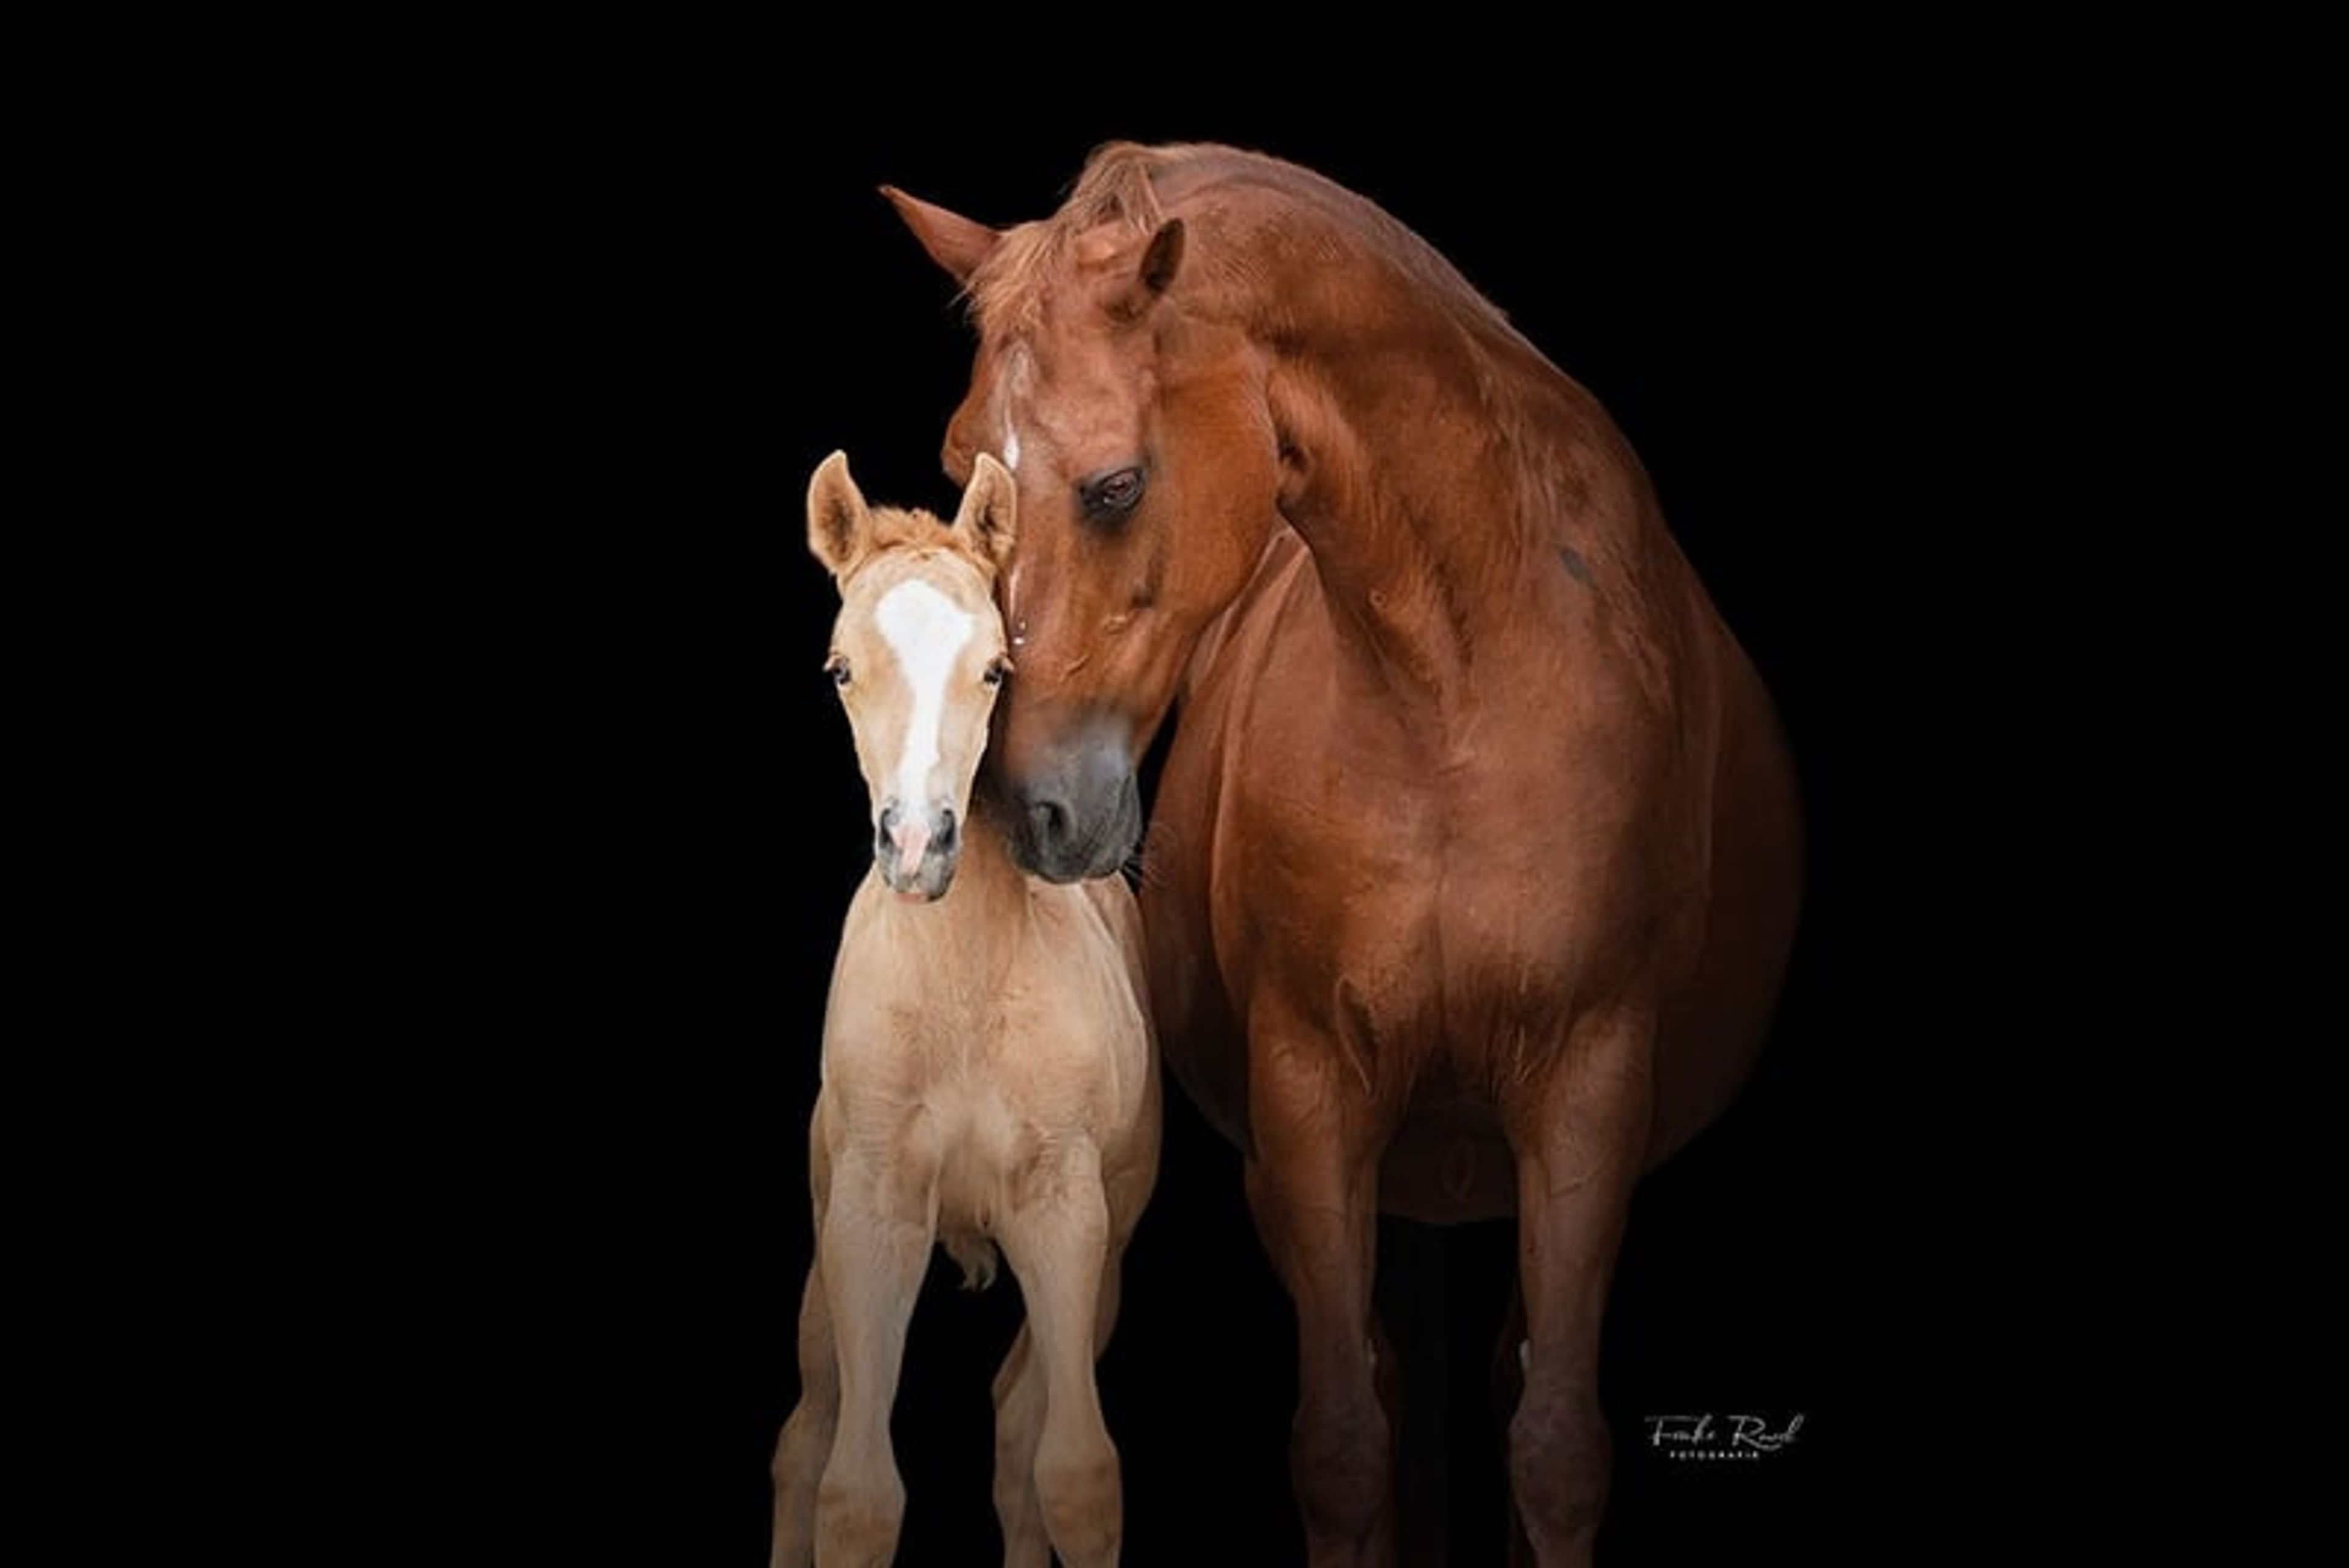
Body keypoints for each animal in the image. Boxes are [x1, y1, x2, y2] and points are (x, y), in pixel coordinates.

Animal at [770, 450, 1162, 1567]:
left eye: (993, 668)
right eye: (840, 668)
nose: (918, 846)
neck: (964, 998)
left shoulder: (1068, 1213)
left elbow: (1076, 1473)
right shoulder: (871, 1212)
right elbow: (855, 1491)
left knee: (1023, 1422)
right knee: (807, 1433)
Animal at [881, 141, 1805, 1565]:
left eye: (1115, 486)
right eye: (956, 464)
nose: (1017, 809)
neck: (1460, 696)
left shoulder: (1586, 1089)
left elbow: (1556, 1448)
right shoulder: (1315, 1097)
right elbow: (1342, 1446)